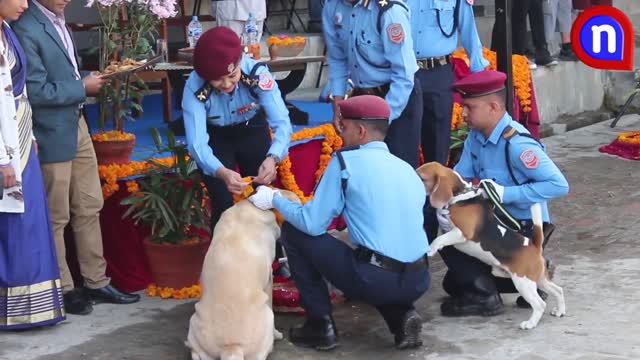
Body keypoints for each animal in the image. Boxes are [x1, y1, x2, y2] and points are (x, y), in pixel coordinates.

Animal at [185, 190, 300, 358]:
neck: (249, 205)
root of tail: (231, 348)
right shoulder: (269, 279)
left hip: (194, 321)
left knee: (195, 352)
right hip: (268, 318)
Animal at [416, 162, 564, 330]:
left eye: (421, 177)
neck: (460, 194)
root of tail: (534, 245)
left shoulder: (462, 232)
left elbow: (439, 239)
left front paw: (430, 249)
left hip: (523, 282)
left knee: (539, 304)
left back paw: (530, 323)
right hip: (538, 279)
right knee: (558, 290)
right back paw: (559, 310)